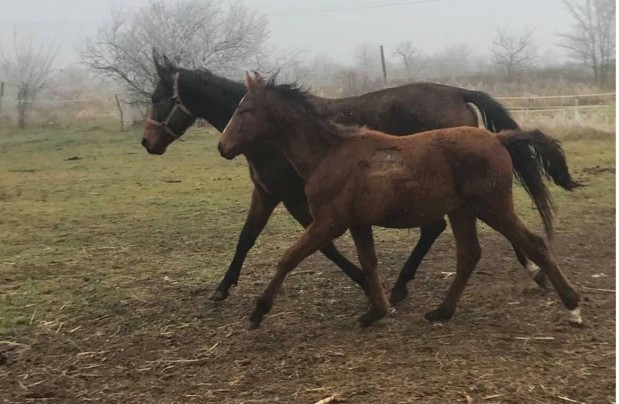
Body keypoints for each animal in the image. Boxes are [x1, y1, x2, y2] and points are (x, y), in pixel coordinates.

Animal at [143, 55, 548, 304]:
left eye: (157, 97)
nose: (147, 142)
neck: (276, 134)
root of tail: (457, 92)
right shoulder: (267, 194)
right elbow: (246, 238)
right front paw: (222, 288)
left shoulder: (296, 198)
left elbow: (324, 245)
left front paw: (365, 283)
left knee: (439, 227)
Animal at [219, 73, 588, 328]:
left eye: (244, 109)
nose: (222, 146)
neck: (330, 152)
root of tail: (499, 139)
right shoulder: (357, 222)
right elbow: (369, 263)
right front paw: (376, 311)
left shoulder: (329, 222)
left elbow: (289, 258)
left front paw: (258, 311)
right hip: (463, 211)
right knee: (469, 254)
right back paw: (441, 311)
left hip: (491, 207)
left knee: (533, 244)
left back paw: (573, 306)